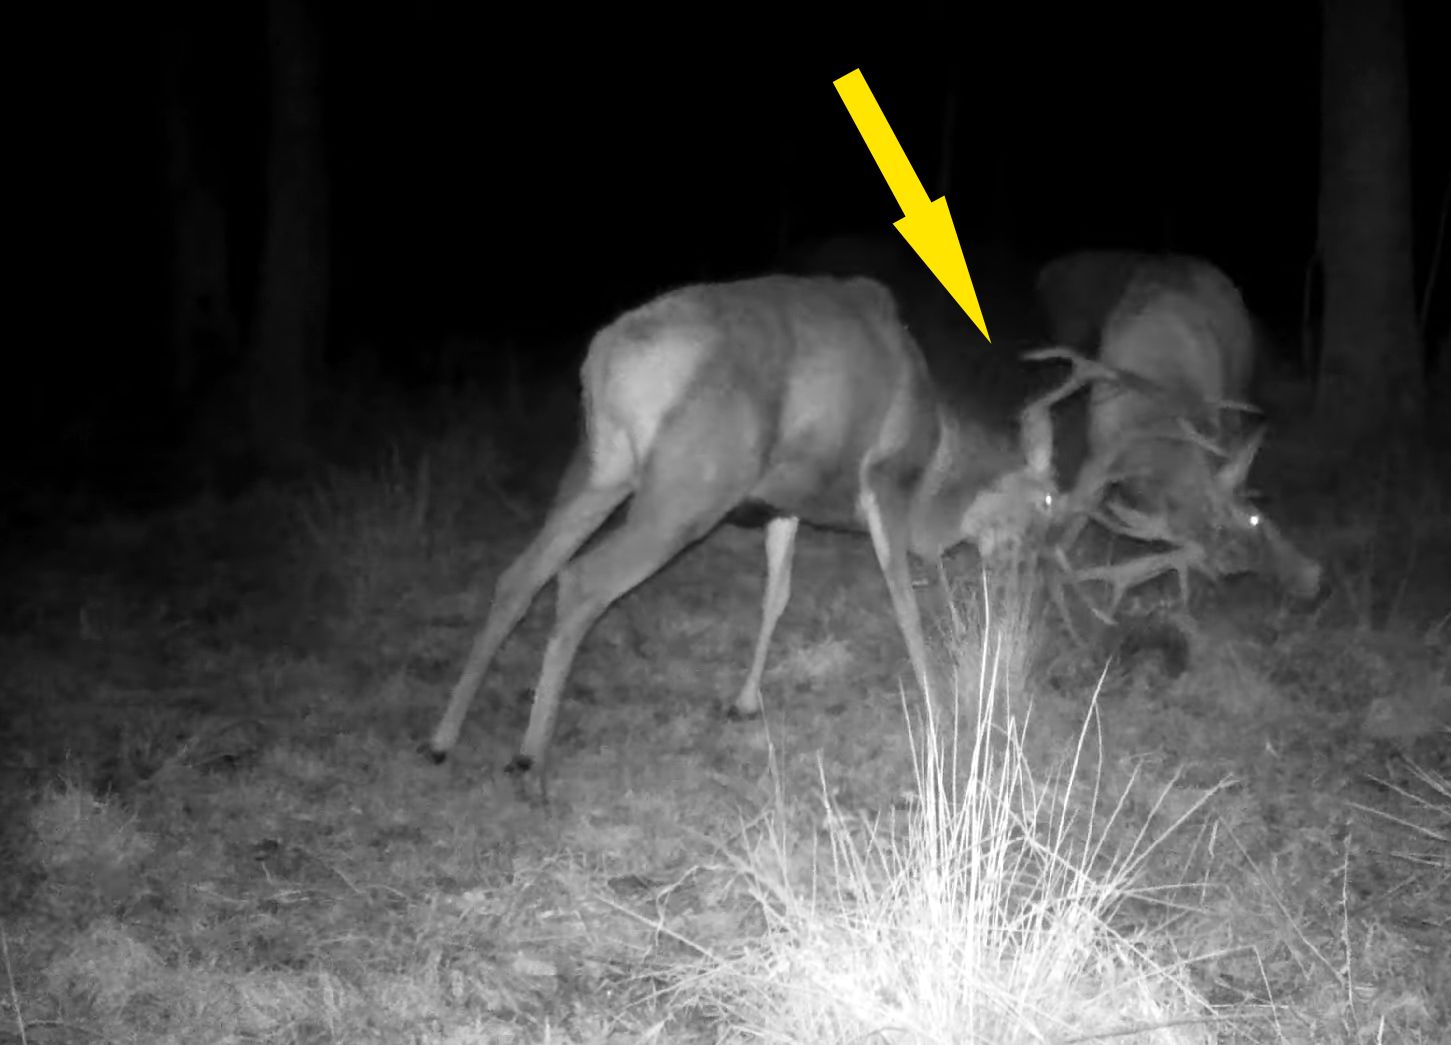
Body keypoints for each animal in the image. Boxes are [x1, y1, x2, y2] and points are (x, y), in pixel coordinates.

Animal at [423, 272, 1091, 777]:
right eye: (1046, 504)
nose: (1024, 569)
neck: (938, 461)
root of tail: (608, 358)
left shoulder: (782, 502)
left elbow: (777, 594)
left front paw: (745, 702)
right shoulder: (883, 483)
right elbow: (901, 597)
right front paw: (937, 705)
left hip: (598, 467)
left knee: (519, 576)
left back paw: (442, 737)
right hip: (686, 490)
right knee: (582, 580)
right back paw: (529, 755)